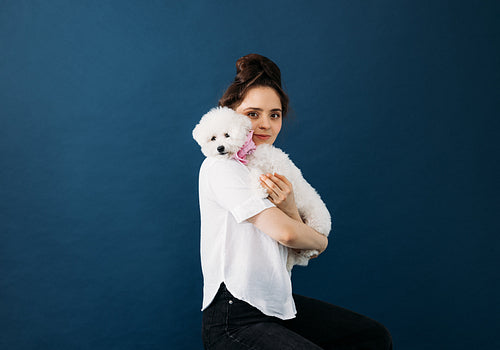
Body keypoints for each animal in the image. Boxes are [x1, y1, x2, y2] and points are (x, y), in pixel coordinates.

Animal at [192, 106, 332, 270]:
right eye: (213, 138)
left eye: (227, 135)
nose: (220, 148)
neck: (248, 152)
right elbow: (255, 172)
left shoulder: (275, 169)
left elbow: (259, 174)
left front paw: (260, 190)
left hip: (315, 223)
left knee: (310, 249)